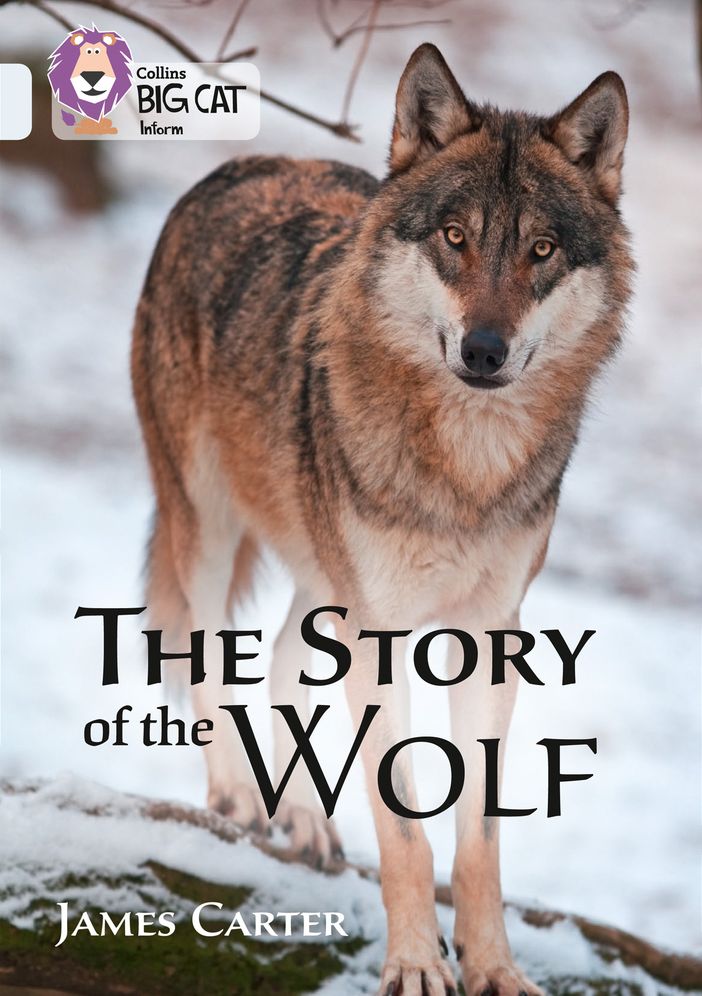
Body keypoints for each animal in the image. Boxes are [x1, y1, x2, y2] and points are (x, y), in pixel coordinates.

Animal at [131, 44, 632, 996]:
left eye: (541, 250)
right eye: (455, 237)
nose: (484, 350)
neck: (467, 467)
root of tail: (239, 166)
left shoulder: (490, 634)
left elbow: (479, 841)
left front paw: (494, 967)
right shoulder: (383, 631)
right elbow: (405, 829)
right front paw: (413, 965)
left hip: (322, 576)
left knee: (281, 663)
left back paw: (301, 817)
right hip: (209, 528)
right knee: (210, 654)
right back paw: (237, 798)